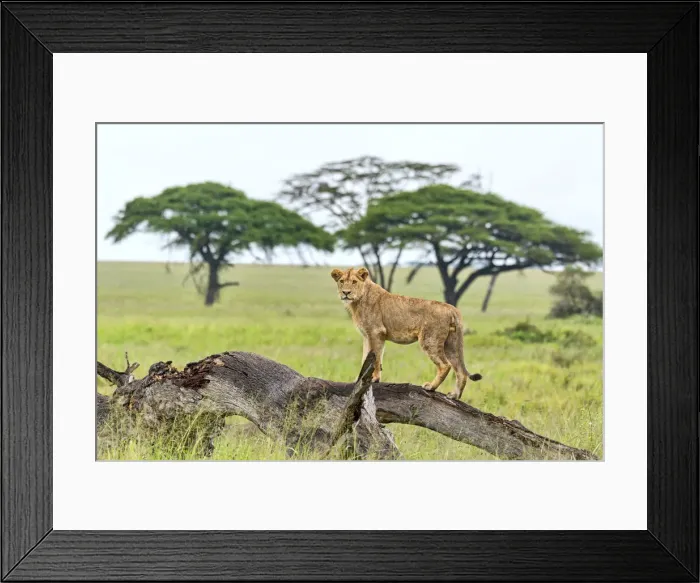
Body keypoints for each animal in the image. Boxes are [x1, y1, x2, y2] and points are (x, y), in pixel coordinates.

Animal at [331, 266, 482, 400]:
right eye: (342, 281)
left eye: (354, 282)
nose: (346, 292)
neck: (358, 300)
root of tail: (452, 308)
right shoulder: (368, 336)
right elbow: (366, 358)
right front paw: (359, 379)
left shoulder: (376, 332)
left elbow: (376, 358)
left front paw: (374, 379)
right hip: (451, 344)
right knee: (460, 371)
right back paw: (454, 395)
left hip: (430, 340)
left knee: (445, 365)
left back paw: (431, 387)